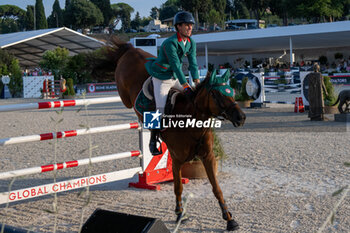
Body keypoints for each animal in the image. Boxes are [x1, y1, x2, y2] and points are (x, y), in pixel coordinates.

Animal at [93, 38, 246, 231]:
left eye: (231, 92)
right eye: (216, 94)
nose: (241, 117)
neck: (192, 121)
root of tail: (130, 50)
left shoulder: (208, 156)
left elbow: (216, 187)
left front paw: (229, 218)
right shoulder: (177, 159)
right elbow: (178, 187)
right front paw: (180, 213)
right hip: (125, 93)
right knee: (128, 102)